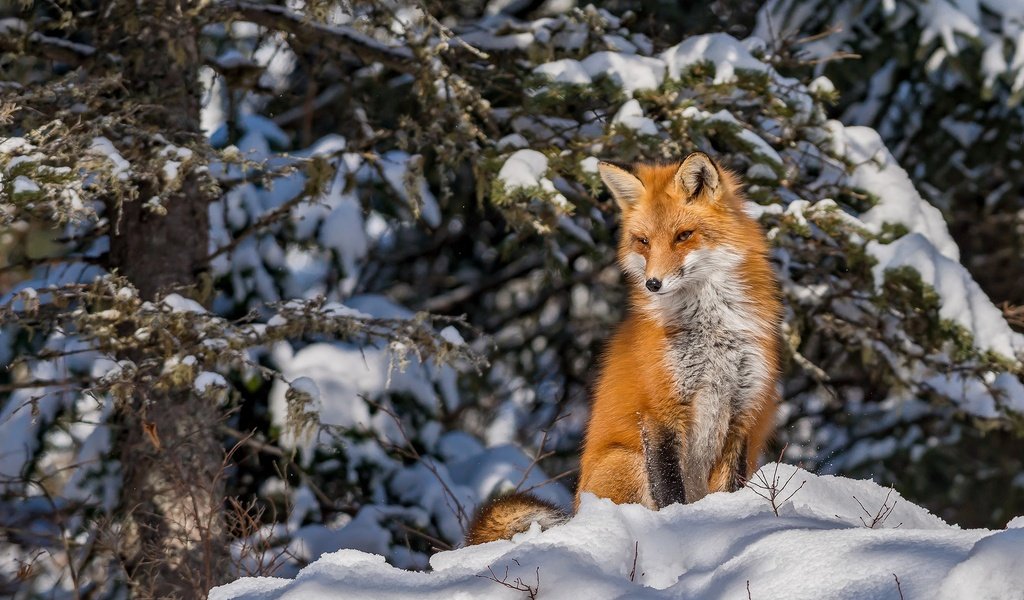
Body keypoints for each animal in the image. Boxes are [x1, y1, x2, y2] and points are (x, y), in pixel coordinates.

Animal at [466, 150, 782, 540]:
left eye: (684, 236)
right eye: (643, 241)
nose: (652, 284)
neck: (710, 331)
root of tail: (577, 507)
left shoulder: (742, 411)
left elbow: (730, 488)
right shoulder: (660, 409)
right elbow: (669, 488)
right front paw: (680, 527)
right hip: (626, 459)